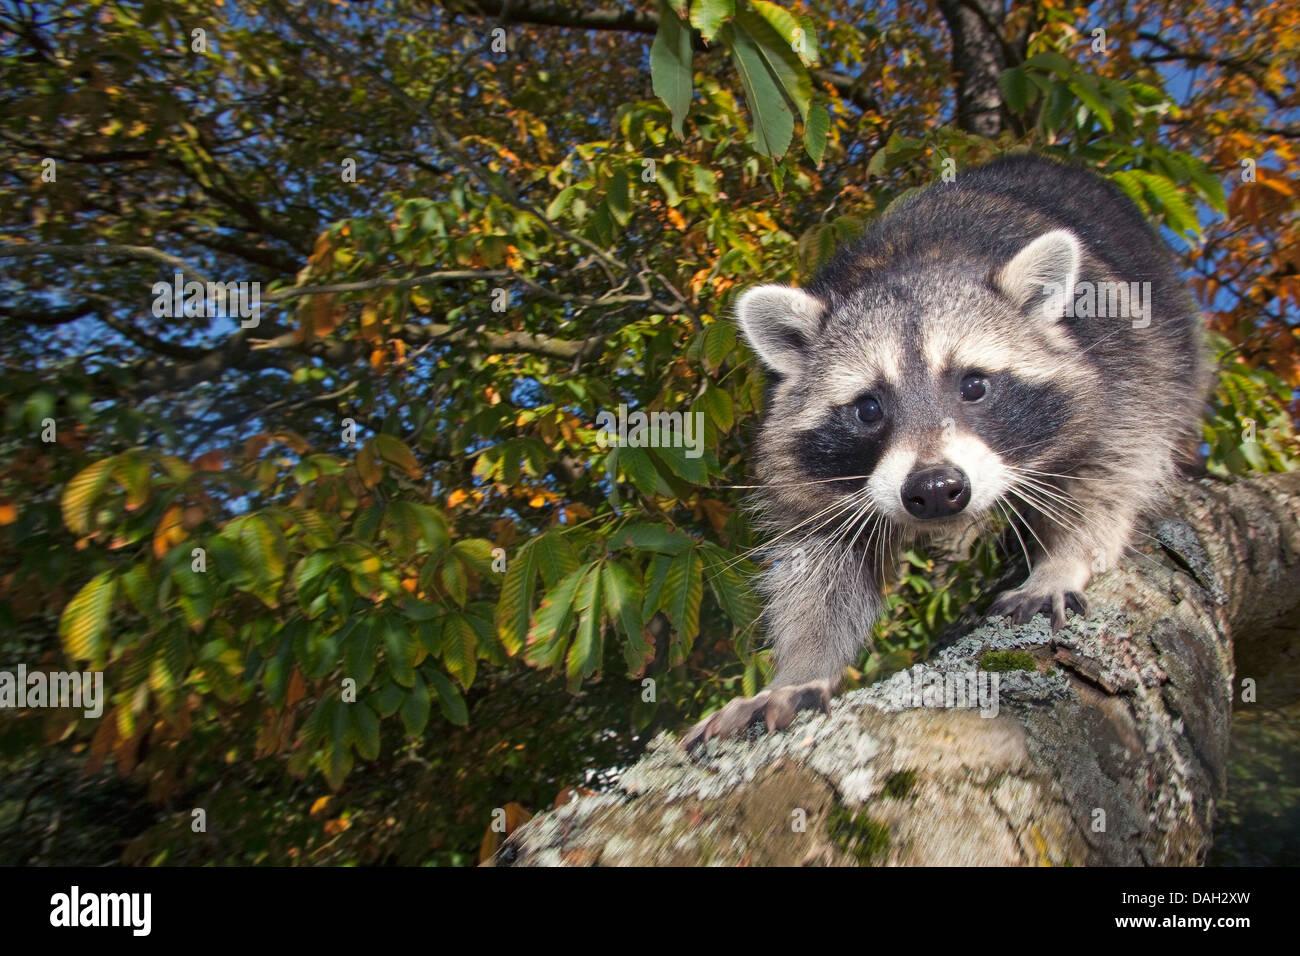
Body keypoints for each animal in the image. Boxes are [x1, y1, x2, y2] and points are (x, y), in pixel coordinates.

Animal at [681, 155, 1206, 749]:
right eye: (868, 409)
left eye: (973, 385)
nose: (934, 490)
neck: (912, 266)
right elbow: (822, 564)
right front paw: (800, 669)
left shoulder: (1121, 358)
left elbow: (1115, 466)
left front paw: (1064, 559)